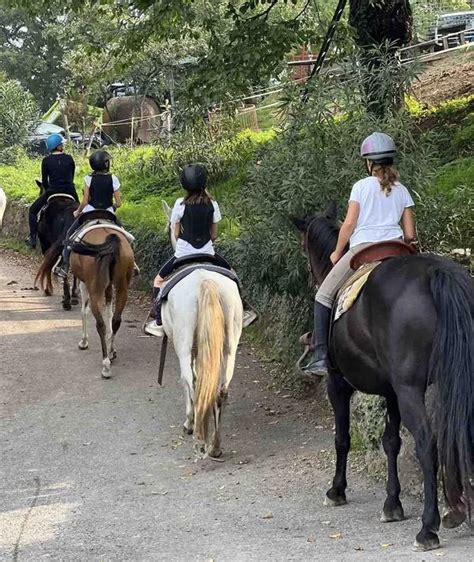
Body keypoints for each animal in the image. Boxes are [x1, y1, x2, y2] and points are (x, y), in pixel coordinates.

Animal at [163, 201, 244, 456]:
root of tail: (204, 280)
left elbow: (194, 378)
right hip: (229, 346)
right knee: (221, 389)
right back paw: (215, 445)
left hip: (183, 344)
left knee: (189, 380)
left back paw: (193, 428)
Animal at [294, 202, 472, 552]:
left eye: (305, 246)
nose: (308, 276)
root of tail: (438, 274)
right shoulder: (390, 391)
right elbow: (391, 442)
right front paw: (392, 503)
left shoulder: (337, 384)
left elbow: (342, 438)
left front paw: (337, 490)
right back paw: (457, 512)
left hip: (411, 390)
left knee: (427, 443)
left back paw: (428, 528)